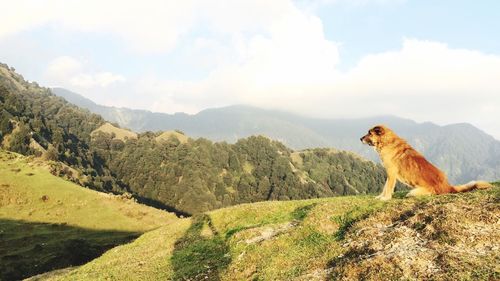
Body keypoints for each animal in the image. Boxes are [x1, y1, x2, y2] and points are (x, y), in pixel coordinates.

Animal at [360, 124, 492, 199]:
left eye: (369, 133)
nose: (360, 138)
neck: (386, 142)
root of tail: (448, 186)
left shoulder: (391, 173)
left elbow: (388, 188)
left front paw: (385, 198)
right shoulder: (389, 174)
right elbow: (385, 187)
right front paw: (379, 197)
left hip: (414, 191)